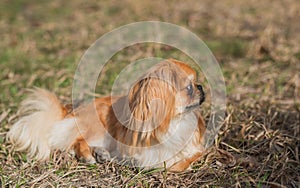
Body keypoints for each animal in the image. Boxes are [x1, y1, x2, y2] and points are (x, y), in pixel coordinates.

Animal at [7, 58, 205, 172]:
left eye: (196, 84)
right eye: (189, 88)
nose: (201, 87)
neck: (177, 121)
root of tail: (72, 111)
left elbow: (187, 157)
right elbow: (171, 164)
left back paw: (100, 153)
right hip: (100, 129)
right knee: (75, 141)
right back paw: (89, 156)